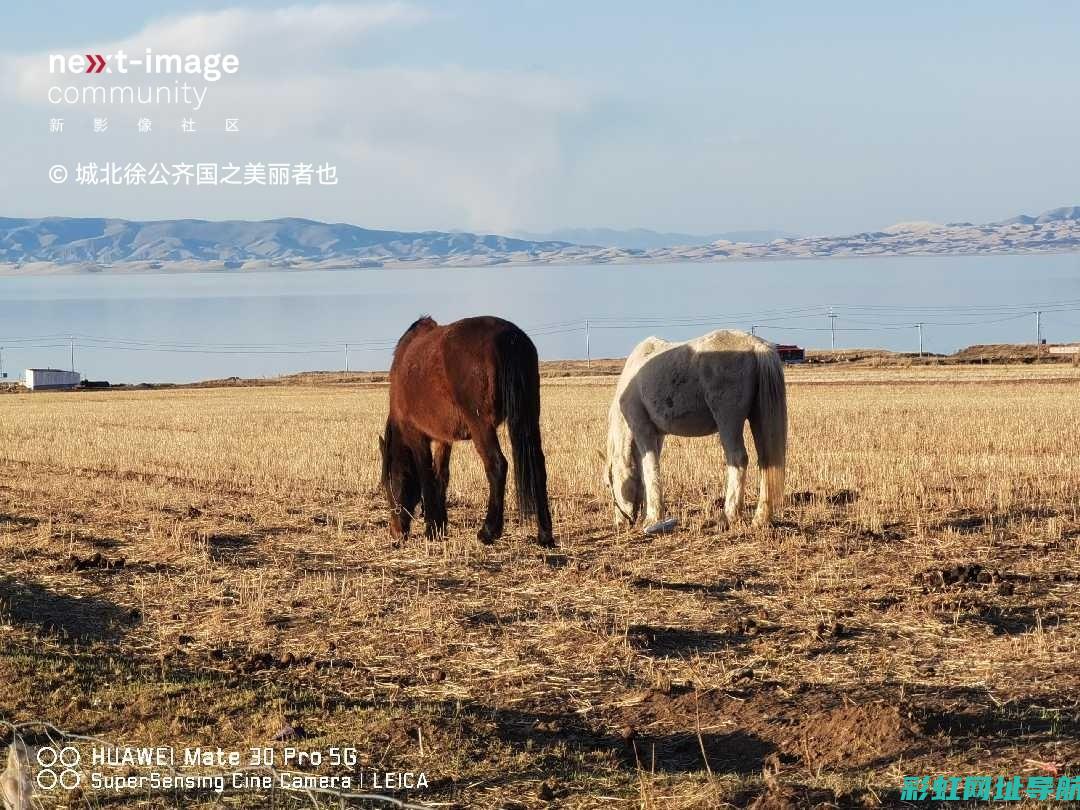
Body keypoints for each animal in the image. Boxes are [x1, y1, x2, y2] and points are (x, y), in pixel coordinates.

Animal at [378, 313, 552, 548]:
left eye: (388, 483)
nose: (396, 534)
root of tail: (509, 337)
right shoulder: (443, 438)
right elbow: (441, 475)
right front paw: (440, 525)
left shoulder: (417, 436)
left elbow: (426, 475)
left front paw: (431, 528)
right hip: (529, 417)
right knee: (538, 467)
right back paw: (545, 535)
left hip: (481, 425)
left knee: (497, 465)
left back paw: (488, 531)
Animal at [609, 330, 786, 533]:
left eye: (611, 482)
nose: (620, 522)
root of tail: (756, 345)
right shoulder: (657, 435)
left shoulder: (642, 429)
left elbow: (650, 468)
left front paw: (652, 518)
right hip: (758, 418)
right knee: (767, 462)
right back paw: (761, 519)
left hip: (728, 422)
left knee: (738, 459)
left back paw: (728, 516)